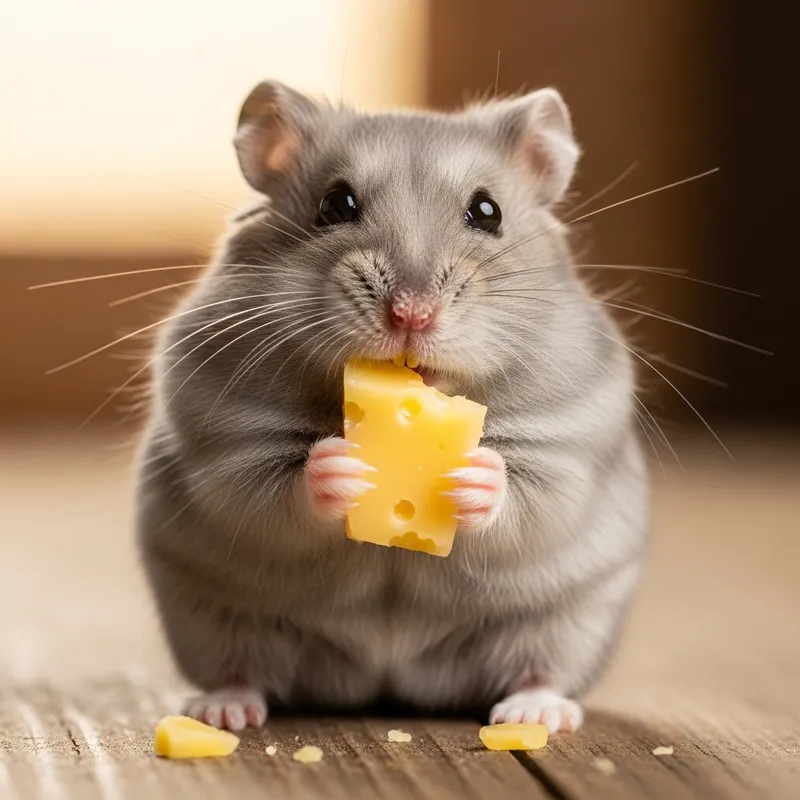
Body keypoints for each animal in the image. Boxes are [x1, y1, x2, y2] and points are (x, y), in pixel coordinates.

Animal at [135, 81, 650, 733]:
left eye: (488, 212)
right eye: (335, 204)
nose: (411, 315)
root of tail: (385, 680)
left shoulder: (570, 445)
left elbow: (531, 493)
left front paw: (473, 476)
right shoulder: (224, 441)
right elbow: (270, 491)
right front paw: (340, 466)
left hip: (567, 624)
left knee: (541, 670)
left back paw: (535, 714)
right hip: (213, 621)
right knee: (243, 669)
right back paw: (222, 712)